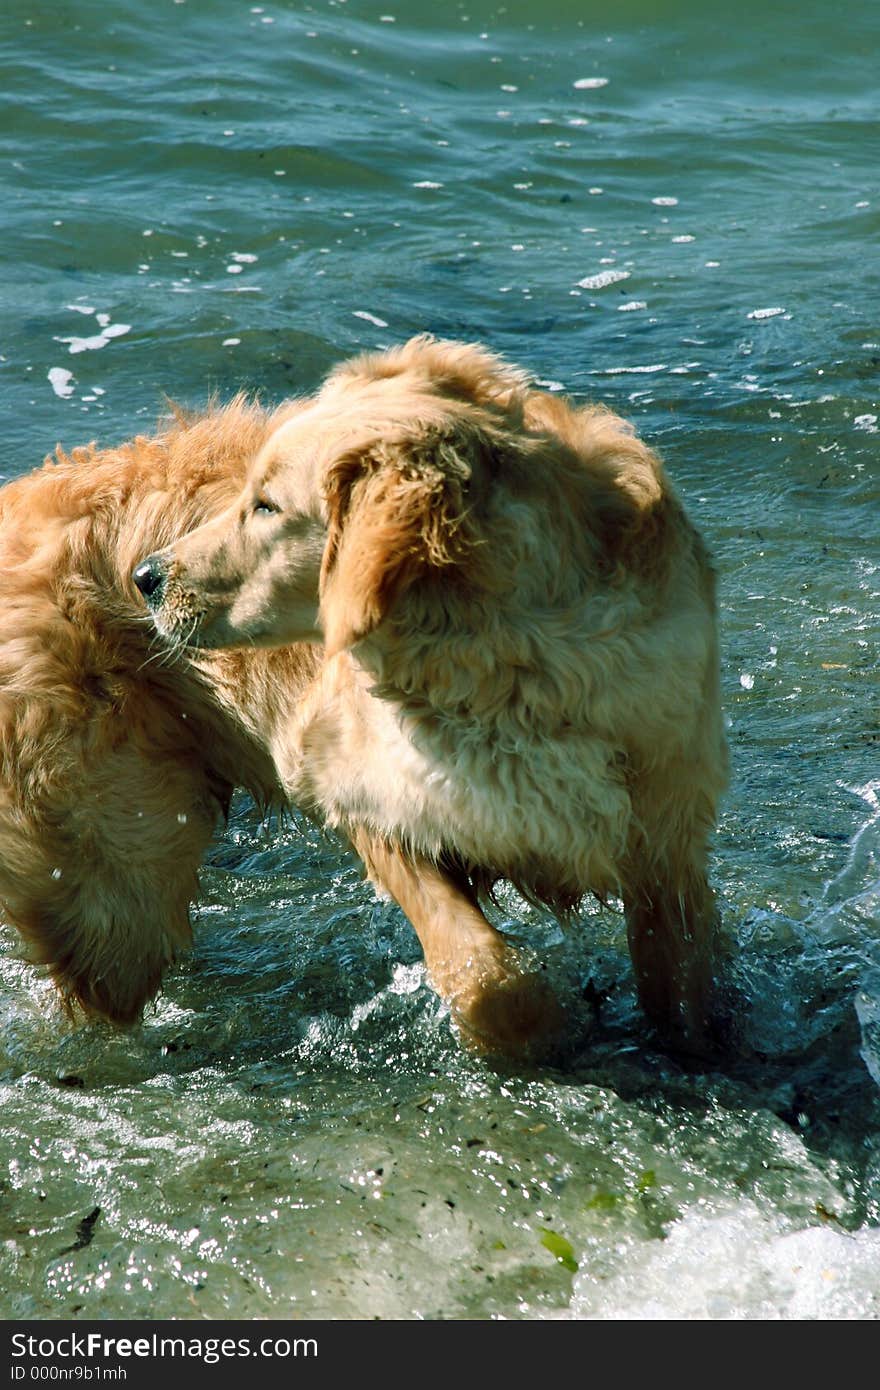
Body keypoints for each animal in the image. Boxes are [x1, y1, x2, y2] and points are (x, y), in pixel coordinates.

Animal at [127, 336, 728, 1050]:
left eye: (266, 506)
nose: (145, 576)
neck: (513, 668)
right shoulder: (374, 803)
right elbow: (486, 975)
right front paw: (543, 1028)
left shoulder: (666, 837)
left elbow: (685, 994)